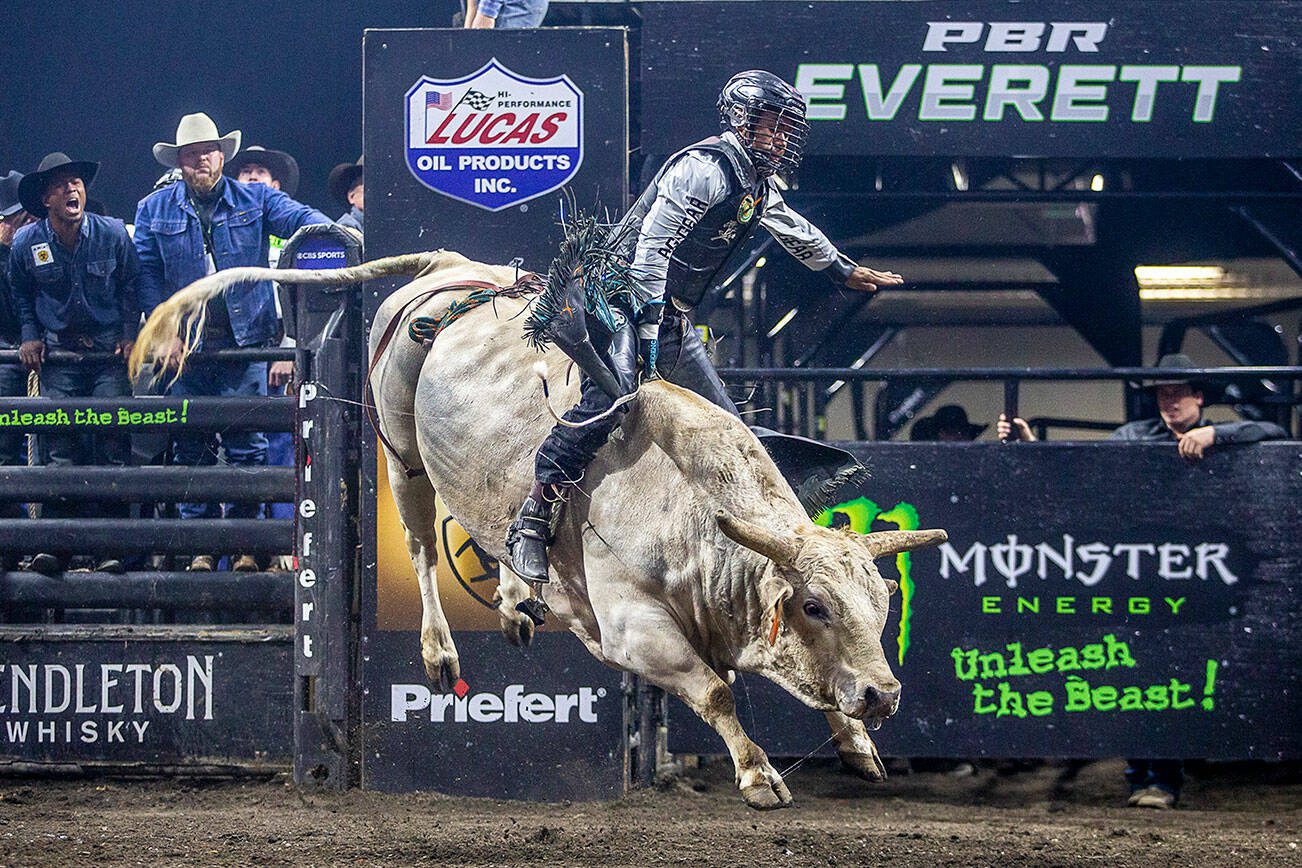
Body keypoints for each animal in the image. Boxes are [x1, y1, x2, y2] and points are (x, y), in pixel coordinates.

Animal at [132, 247, 947, 812]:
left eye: (882, 605)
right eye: (813, 605)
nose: (884, 694)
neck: (693, 515)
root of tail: (450, 269)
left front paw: (858, 743)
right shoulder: (632, 631)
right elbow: (716, 692)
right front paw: (758, 776)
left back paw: (516, 599)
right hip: (399, 450)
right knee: (424, 544)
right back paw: (440, 651)